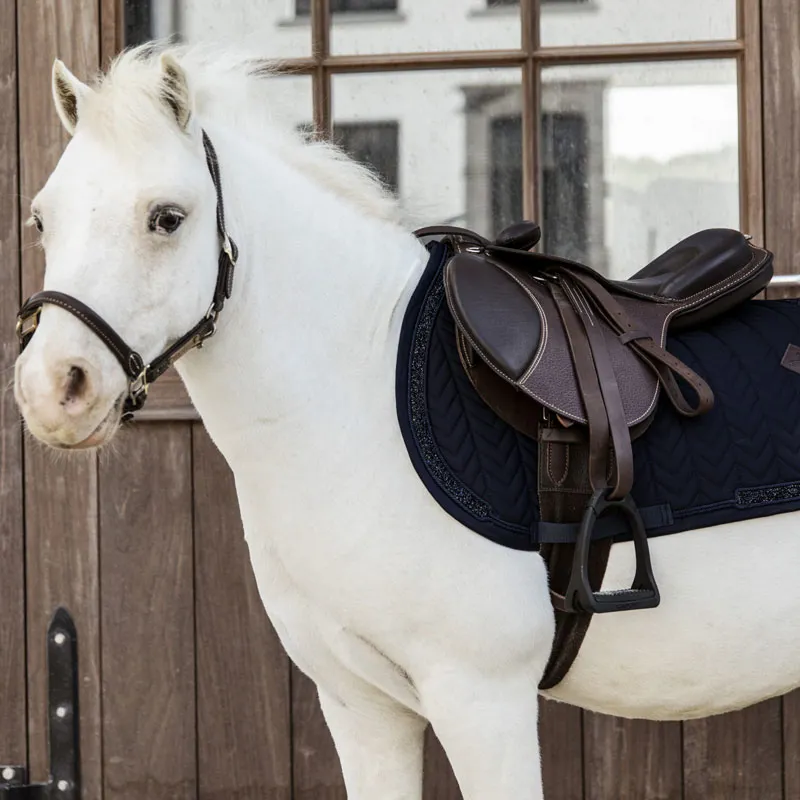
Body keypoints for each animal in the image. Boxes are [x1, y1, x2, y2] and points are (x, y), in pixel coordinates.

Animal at [13, 43, 800, 799]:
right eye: (43, 219)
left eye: (167, 217)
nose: (54, 388)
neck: (356, 403)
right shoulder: (361, 706)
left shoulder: (482, 699)